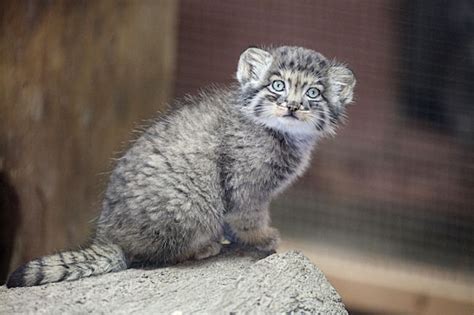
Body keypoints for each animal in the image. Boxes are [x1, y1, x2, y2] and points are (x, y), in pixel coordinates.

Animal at [6, 46, 356, 288]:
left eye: (313, 92)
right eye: (278, 86)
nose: (292, 106)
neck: (278, 133)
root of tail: (109, 238)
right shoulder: (246, 185)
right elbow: (248, 218)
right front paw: (261, 238)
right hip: (191, 207)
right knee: (147, 258)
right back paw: (201, 248)